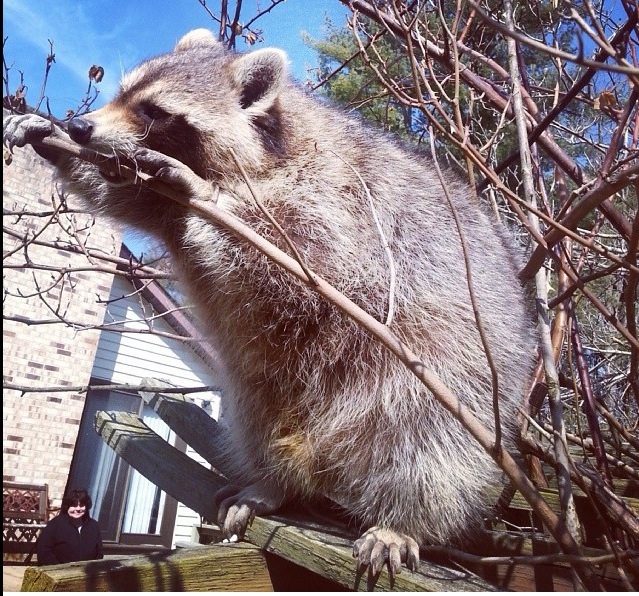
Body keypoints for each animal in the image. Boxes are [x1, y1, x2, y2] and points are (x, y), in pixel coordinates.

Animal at [3, 29, 536, 576]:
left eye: (153, 111)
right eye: (122, 93)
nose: (79, 127)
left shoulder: (344, 203)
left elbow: (308, 265)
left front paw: (209, 197)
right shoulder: (158, 199)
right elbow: (128, 195)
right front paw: (52, 141)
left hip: (457, 377)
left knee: (428, 443)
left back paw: (404, 518)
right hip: (270, 387)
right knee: (258, 411)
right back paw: (274, 482)